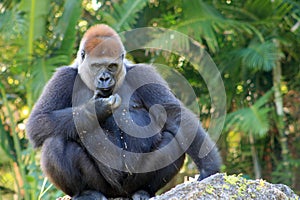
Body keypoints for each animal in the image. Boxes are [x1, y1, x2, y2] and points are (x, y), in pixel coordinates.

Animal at [26, 24, 220, 199]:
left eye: (112, 66)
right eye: (97, 66)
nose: (104, 78)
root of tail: (118, 194)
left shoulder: (144, 74)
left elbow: (173, 114)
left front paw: (209, 168)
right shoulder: (62, 77)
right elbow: (38, 121)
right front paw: (96, 108)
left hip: (131, 183)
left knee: (172, 140)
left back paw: (143, 191)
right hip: (104, 186)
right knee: (56, 141)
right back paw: (85, 193)